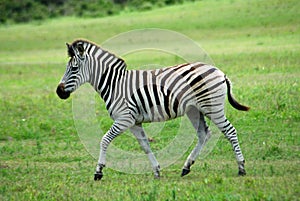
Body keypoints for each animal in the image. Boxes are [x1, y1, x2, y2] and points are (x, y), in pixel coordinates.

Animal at [56, 38, 251, 181]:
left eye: (74, 68)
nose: (59, 92)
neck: (114, 84)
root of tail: (219, 72)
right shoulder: (134, 122)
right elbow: (145, 146)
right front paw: (157, 170)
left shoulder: (124, 119)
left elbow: (104, 140)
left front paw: (98, 171)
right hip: (194, 110)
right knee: (204, 134)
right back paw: (186, 167)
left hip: (212, 107)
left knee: (230, 131)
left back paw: (241, 168)